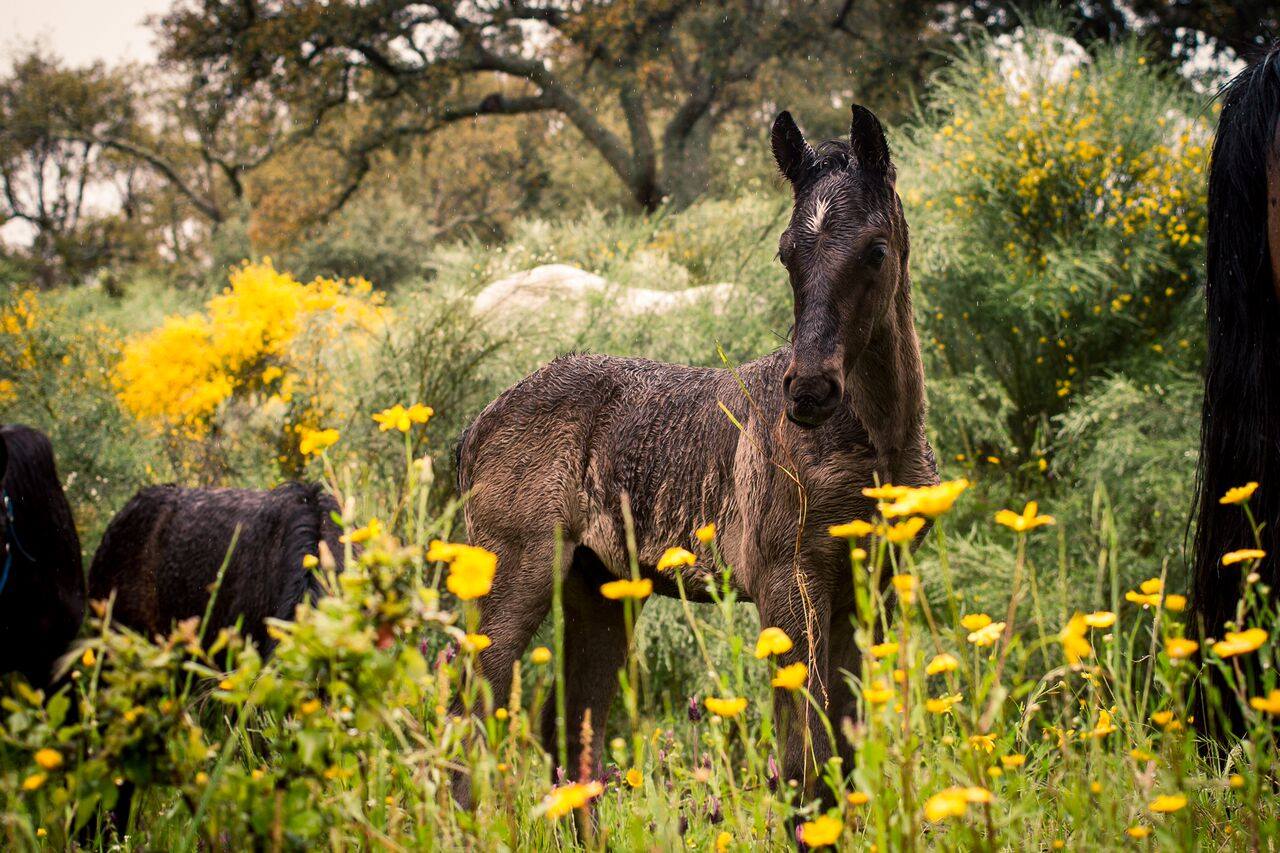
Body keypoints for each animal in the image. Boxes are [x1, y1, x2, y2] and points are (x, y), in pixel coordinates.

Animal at [455, 104, 938, 808]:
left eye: (875, 250)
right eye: (787, 253)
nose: (808, 390)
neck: (877, 443)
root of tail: (480, 423)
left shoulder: (869, 589)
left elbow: (843, 759)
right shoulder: (789, 585)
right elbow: (804, 762)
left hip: (599, 590)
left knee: (572, 735)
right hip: (512, 573)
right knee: (467, 712)